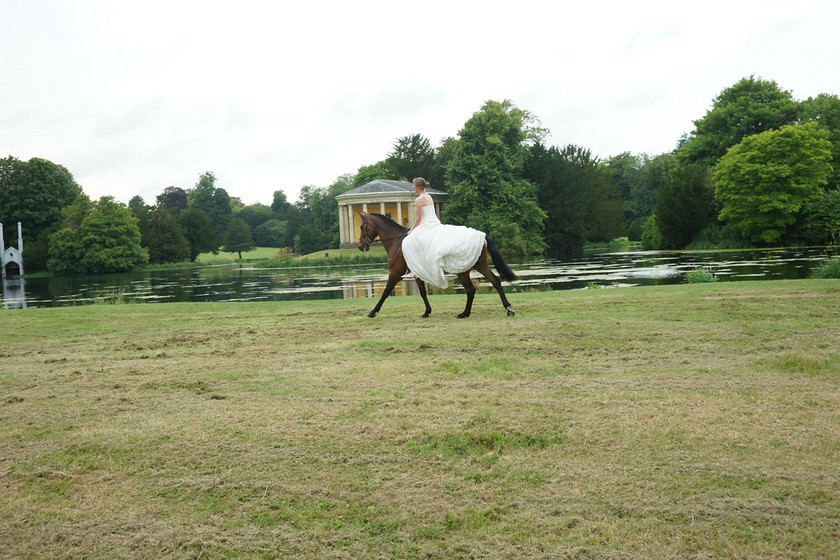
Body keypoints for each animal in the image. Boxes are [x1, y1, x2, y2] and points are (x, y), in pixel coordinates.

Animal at [356, 213, 516, 320]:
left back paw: (466, 313)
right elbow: (422, 292)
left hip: (464, 271)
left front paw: (373, 312)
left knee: (471, 289)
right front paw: (427, 311)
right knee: (494, 282)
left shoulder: (395, 273)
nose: (360, 246)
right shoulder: (417, 274)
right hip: (478, 266)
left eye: (362, 227)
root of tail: (482, 236)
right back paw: (505, 309)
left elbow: (385, 292)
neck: (396, 241)